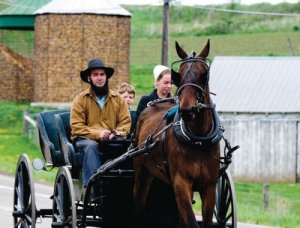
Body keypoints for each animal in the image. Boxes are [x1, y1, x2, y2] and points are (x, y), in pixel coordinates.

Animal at [133, 40, 220, 227]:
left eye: (203, 74)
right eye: (178, 75)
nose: (187, 109)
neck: (198, 139)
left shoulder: (209, 186)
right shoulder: (181, 183)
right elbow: (192, 221)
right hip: (141, 172)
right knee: (139, 204)